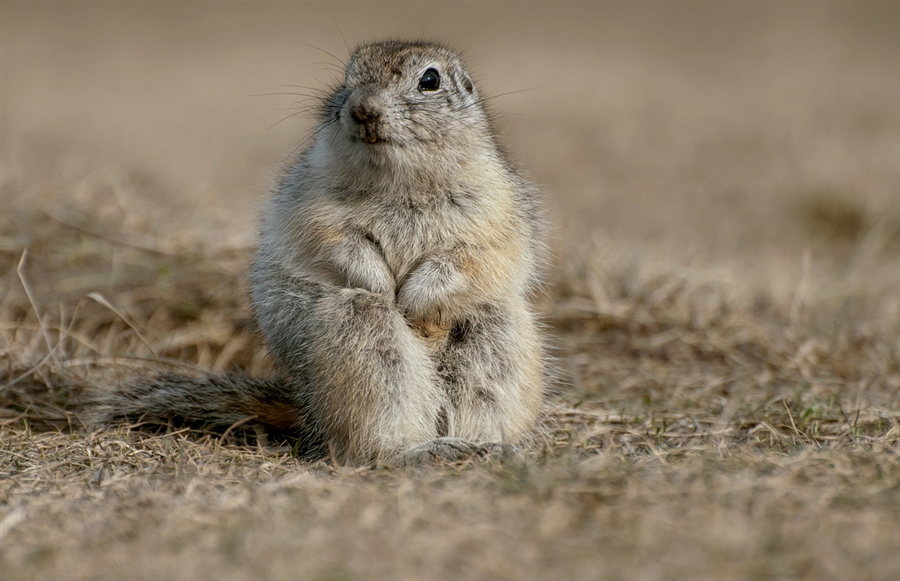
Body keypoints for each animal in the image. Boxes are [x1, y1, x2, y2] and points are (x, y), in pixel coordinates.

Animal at [100, 39, 548, 466]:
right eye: (348, 76)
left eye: (430, 80)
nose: (363, 109)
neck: (399, 181)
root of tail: (307, 410)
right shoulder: (314, 208)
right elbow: (338, 244)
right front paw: (385, 290)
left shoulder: (494, 211)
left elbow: (472, 257)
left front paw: (412, 299)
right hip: (362, 337)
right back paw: (416, 450)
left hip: (493, 338)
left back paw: (484, 446)